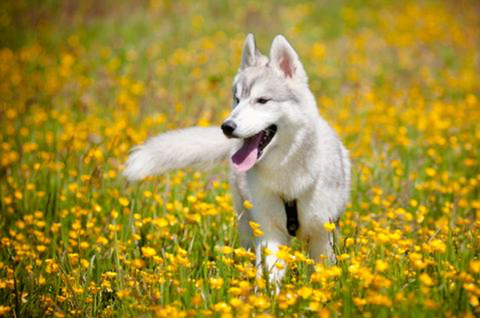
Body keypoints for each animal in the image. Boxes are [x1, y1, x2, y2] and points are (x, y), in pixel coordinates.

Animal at [122, 33, 350, 284]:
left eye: (262, 100)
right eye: (237, 99)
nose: (227, 127)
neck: (287, 174)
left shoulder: (322, 235)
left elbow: (322, 274)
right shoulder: (269, 233)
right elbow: (269, 278)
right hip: (248, 227)